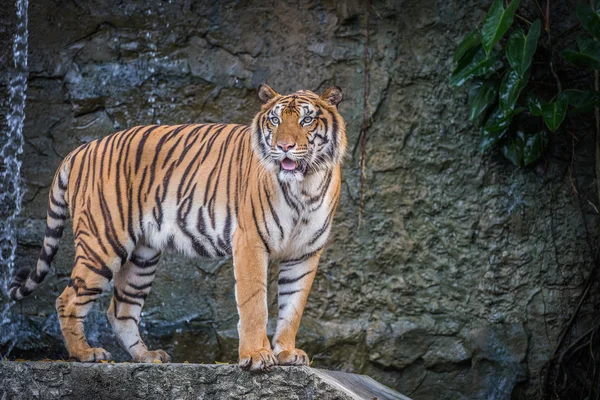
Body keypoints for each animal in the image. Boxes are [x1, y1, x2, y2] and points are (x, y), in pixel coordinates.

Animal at [8, 84, 346, 372]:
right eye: (275, 120)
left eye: (307, 120)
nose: (284, 147)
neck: (304, 187)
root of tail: (82, 149)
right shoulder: (250, 241)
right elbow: (254, 304)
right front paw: (257, 356)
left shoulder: (305, 252)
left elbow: (293, 306)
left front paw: (287, 352)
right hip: (103, 243)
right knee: (67, 299)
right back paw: (85, 353)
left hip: (142, 257)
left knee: (120, 310)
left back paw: (147, 356)